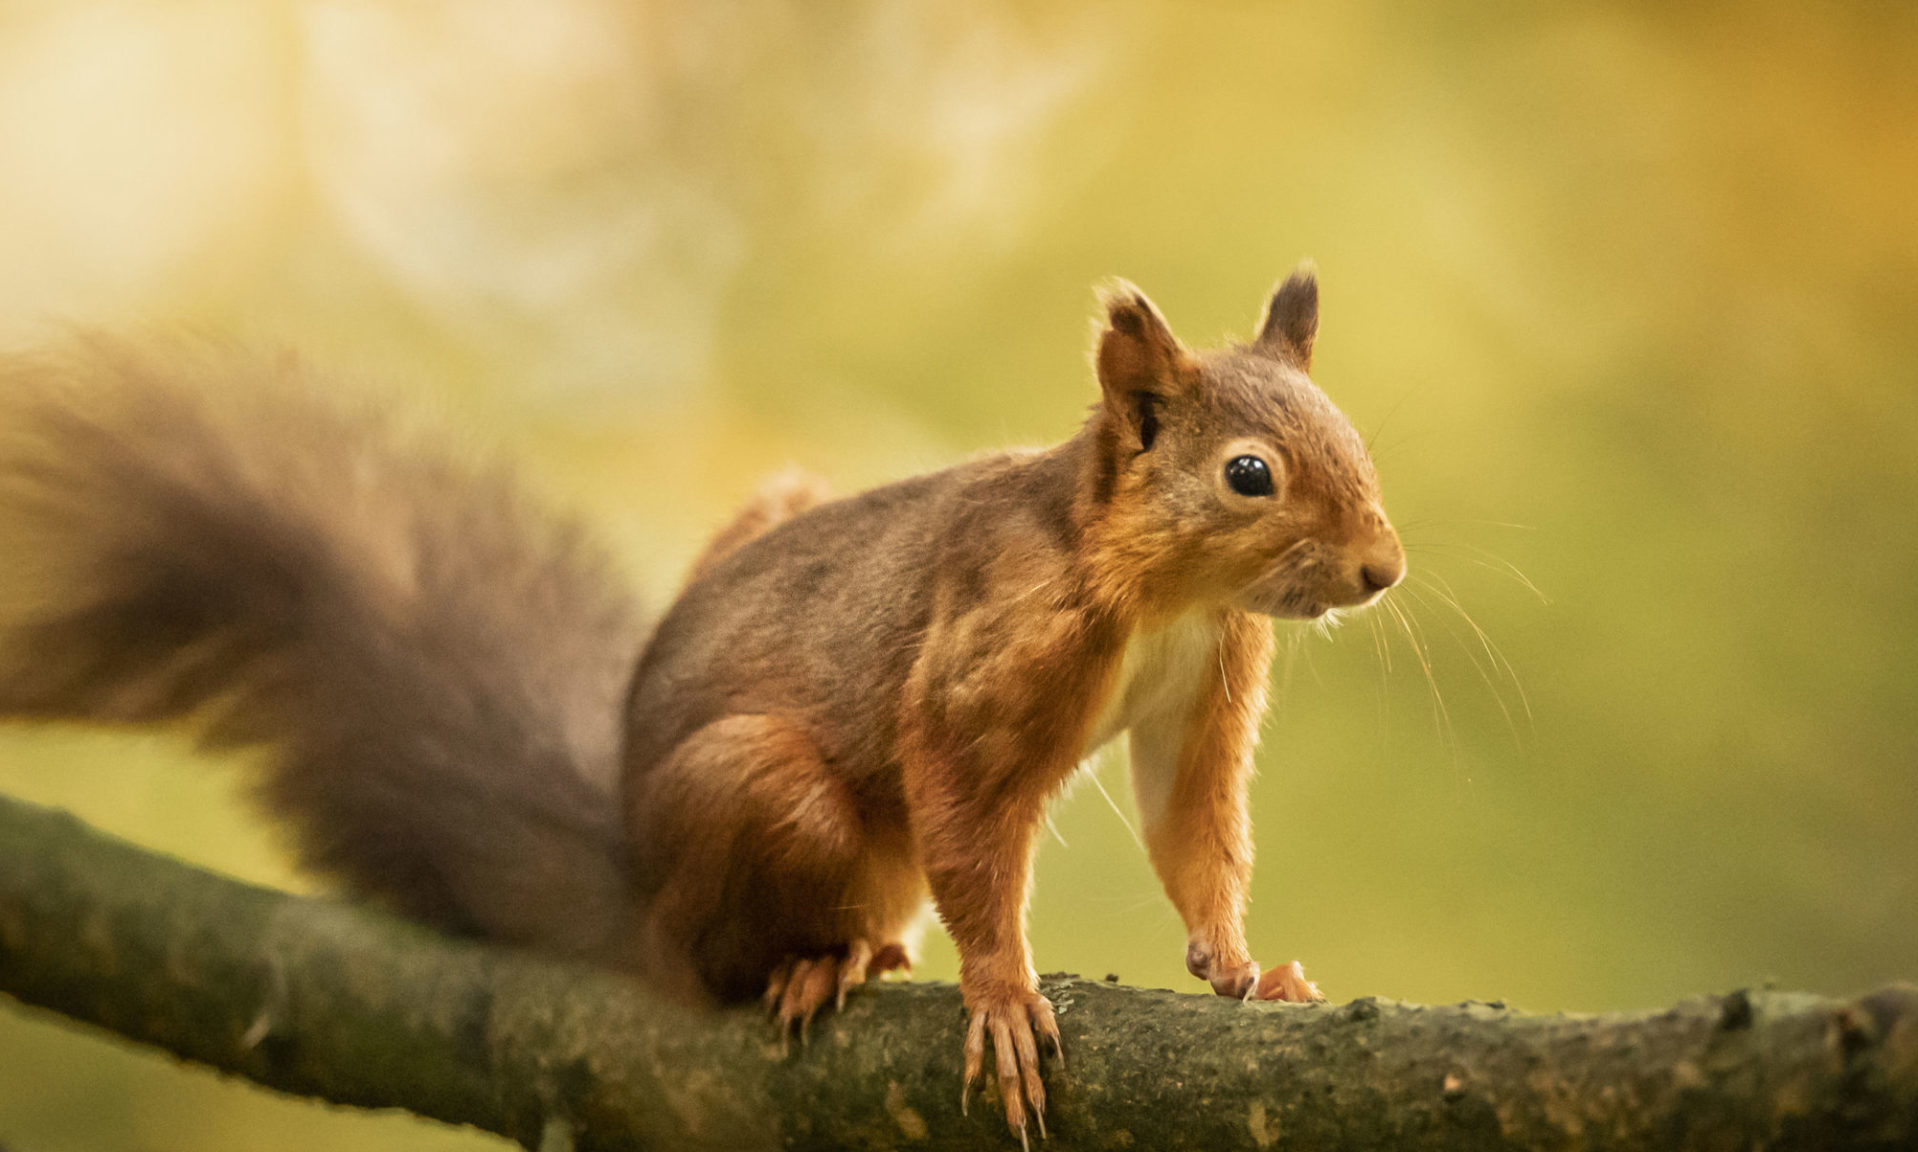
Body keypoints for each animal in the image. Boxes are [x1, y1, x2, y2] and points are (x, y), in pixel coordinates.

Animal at [0, 264, 1396, 1134]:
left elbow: (1191, 824)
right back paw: (816, 963)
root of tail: (635, 886)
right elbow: (958, 800)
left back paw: (871, 947)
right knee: (733, 941)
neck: (1166, 596)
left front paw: (1240, 967)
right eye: (1250, 474)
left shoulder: (1206, 683)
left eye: (1355, 439)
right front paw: (1001, 993)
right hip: (756, 797)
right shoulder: (983, 659)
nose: (1381, 570)